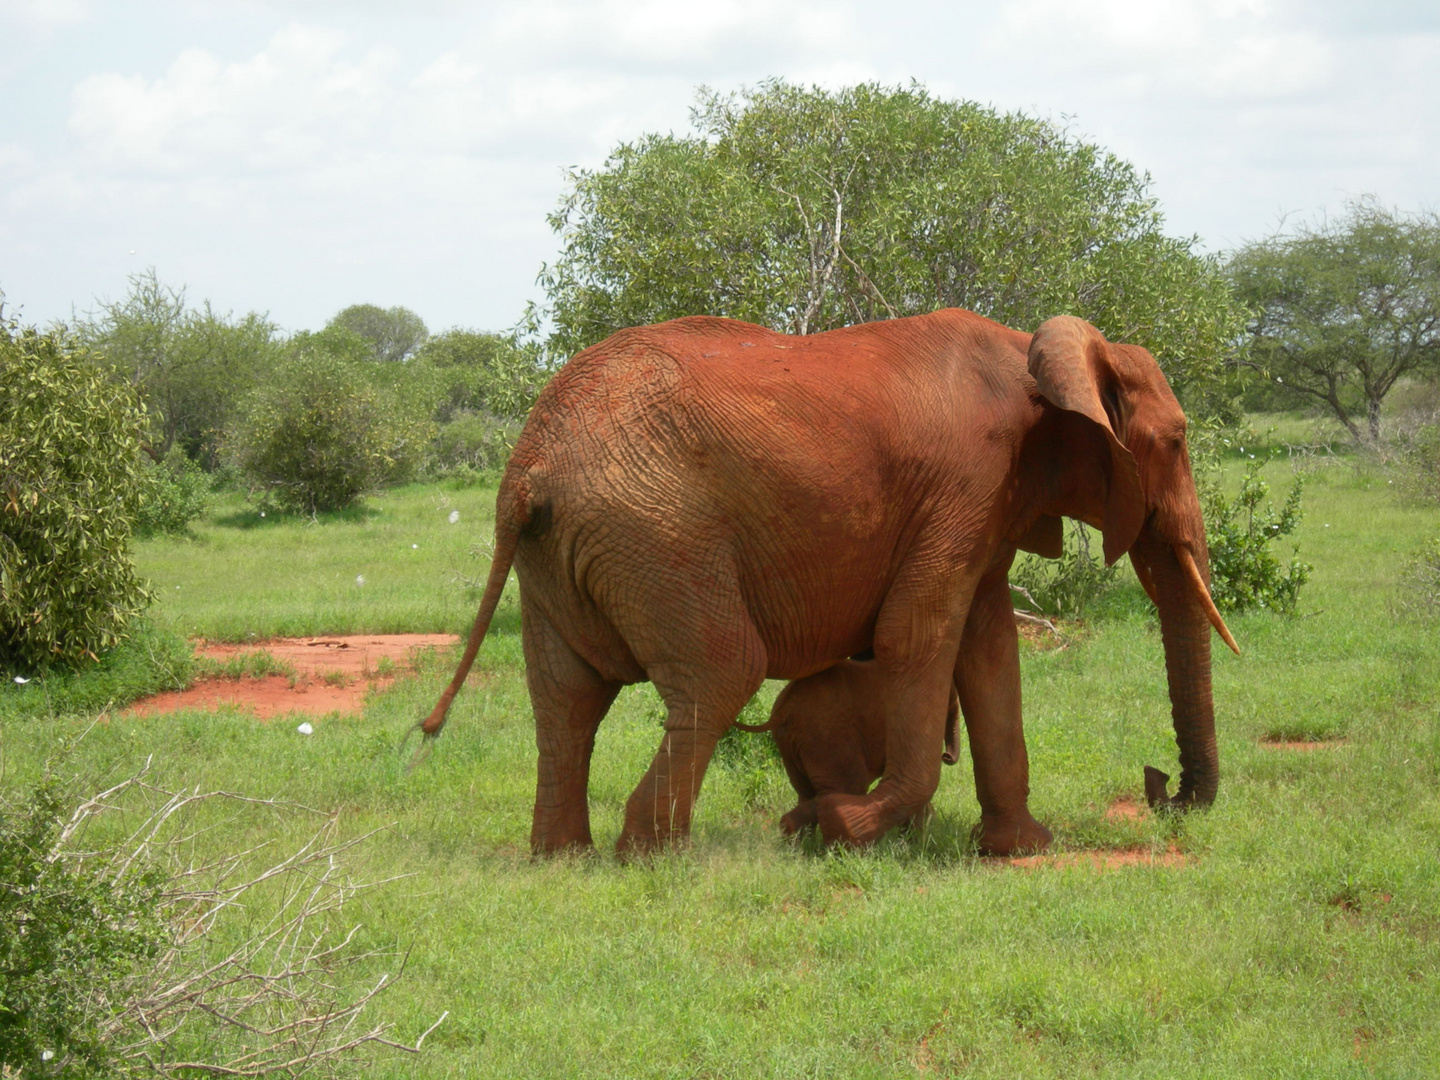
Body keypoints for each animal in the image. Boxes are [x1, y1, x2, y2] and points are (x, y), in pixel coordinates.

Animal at [737, 659, 961, 835]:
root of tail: (782, 711)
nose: (946, 756)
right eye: (951, 709)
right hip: (826, 738)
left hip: (789, 745)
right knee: (850, 786)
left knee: (807, 793)